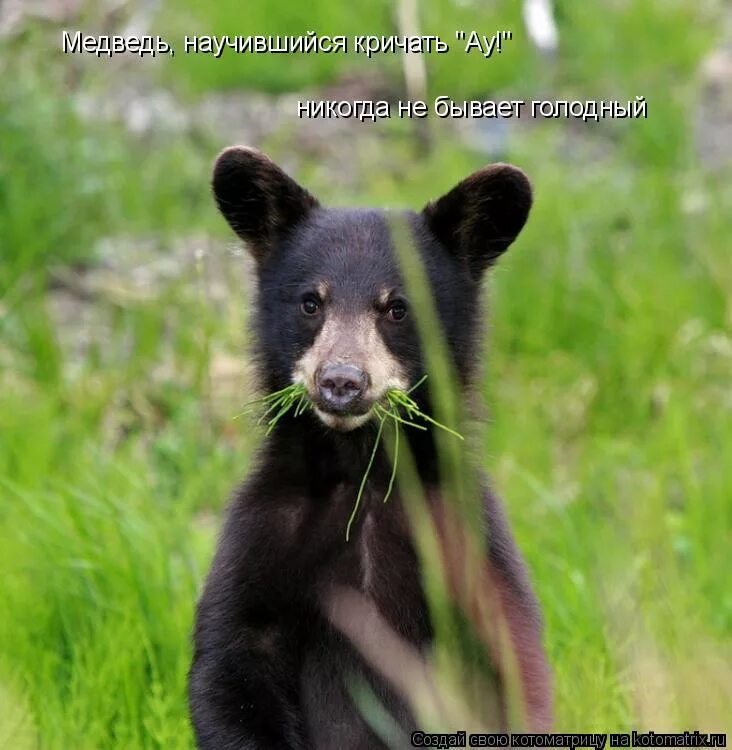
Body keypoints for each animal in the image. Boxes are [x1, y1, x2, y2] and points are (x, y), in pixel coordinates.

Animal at [189, 148, 548, 750]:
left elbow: (509, 670)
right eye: (311, 302)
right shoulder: (262, 535)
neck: (365, 475)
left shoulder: (469, 543)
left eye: (397, 308)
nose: (341, 381)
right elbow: (229, 669)